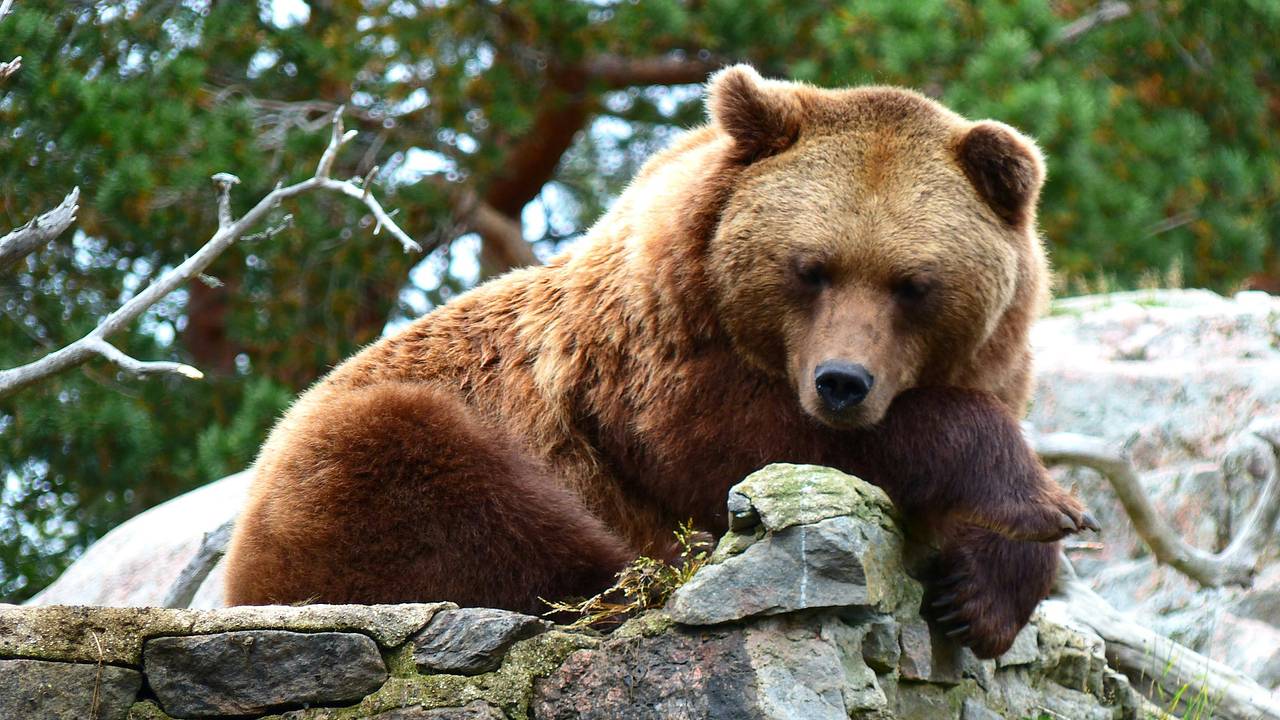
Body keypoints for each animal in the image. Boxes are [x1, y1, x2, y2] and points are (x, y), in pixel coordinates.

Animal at [224, 65, 1096, 658]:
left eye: (913, 284)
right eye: (810, 268)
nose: (842, 383)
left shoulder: (989, 361)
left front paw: (980, 591)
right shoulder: (644, 376)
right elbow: (742, 449)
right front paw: (1040, 501)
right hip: (358, 470)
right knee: (437, 476)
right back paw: (654, 571)